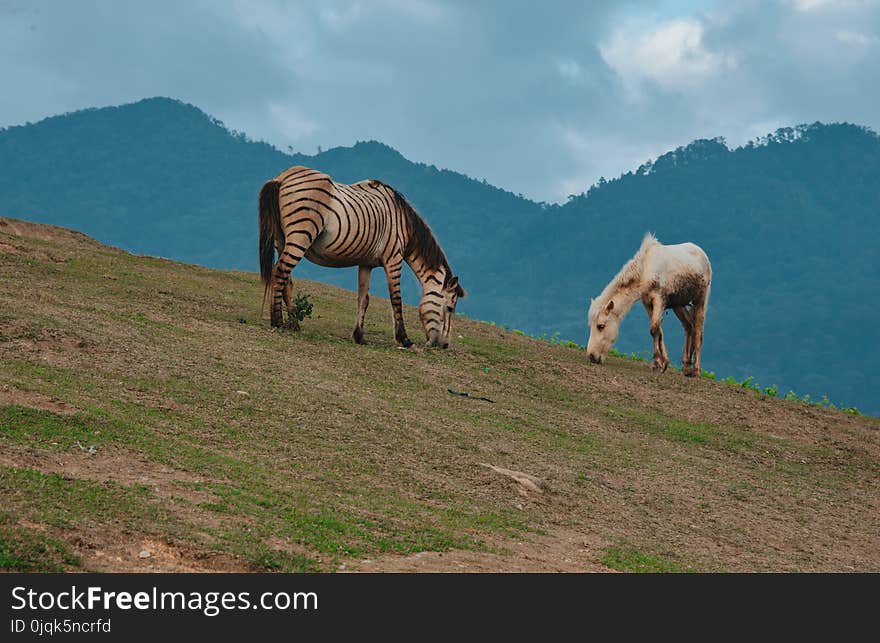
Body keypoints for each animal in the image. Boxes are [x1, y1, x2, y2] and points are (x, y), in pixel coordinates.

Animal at [260, 166, 468, 348]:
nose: (445, 345)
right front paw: (404, 339)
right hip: (300, 235)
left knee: (286, 279)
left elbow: (364, 299)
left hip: (282, 239)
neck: (403, 224)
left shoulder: (366, 264)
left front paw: (359, 336)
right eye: (450, 308)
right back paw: (277, 321)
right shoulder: (394, 259)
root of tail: (282, 177)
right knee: (280, 272)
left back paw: (293, 323)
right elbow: (396, 299)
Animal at [588, 234, 712, 378]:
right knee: (689, 326)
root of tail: (702, 253)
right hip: (678, 305)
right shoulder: (647, 303)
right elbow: (658, 330)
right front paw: (662, 363)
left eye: (601, 326)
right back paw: (687, 367)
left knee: (698, 332)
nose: (591, 356)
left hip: (700, 300)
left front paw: (658, 363)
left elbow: (654, 329)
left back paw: (696, 371)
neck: (646, 270)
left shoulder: (659, 299)